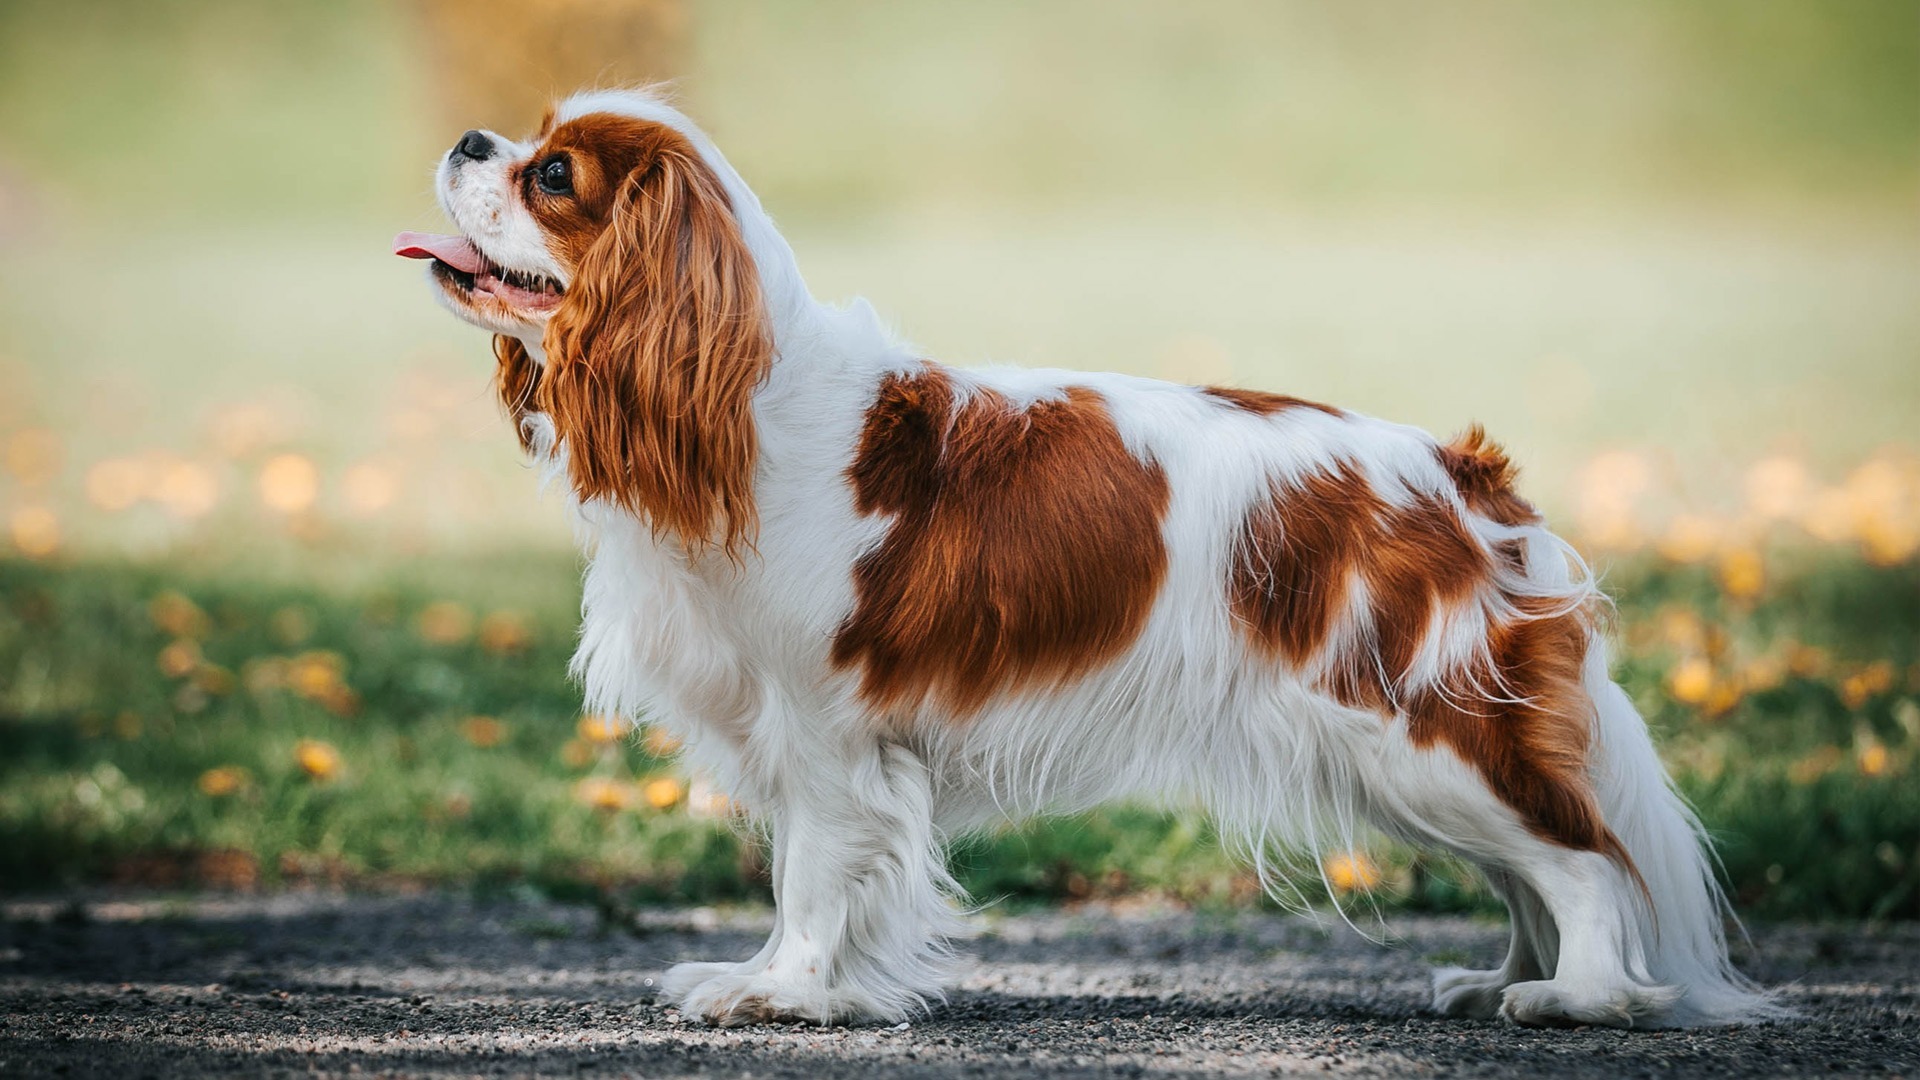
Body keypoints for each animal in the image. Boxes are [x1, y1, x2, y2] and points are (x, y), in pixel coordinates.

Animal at [393, 88, 1781, 1022]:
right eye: (522, 145)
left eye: (552, 174)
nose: (468, 142)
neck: (740, 403)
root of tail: (1463, 476)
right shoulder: (805, 731)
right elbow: (803, 873)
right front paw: (789, 980)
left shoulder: (829, 730)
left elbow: (814, 875)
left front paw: (783, 994)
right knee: (1531, 871)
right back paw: (1497, 981)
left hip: (1417, 732)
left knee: (1584, 862)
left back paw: (1580, 997)